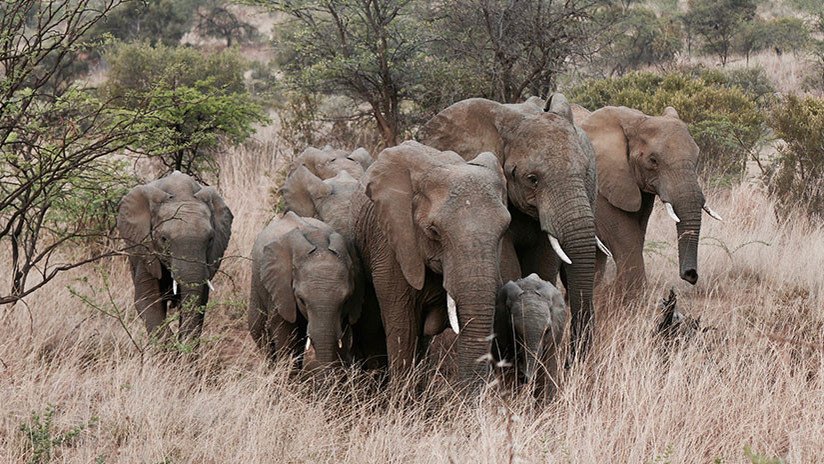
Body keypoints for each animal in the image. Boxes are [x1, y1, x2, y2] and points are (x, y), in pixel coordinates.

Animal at [248, 211, 363, 373]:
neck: (319, 242)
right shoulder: (280, 289)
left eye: (346, 300)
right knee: (261, 334)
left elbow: (342, 339)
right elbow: (285, 335)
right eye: (301, 300)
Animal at [573, 105, 723, 296]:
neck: (636, 119)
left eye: (697, 158)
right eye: (653, 160)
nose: (691, 274)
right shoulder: (600, 185)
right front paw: (628, 298)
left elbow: (638, 233)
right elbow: (624, 235)